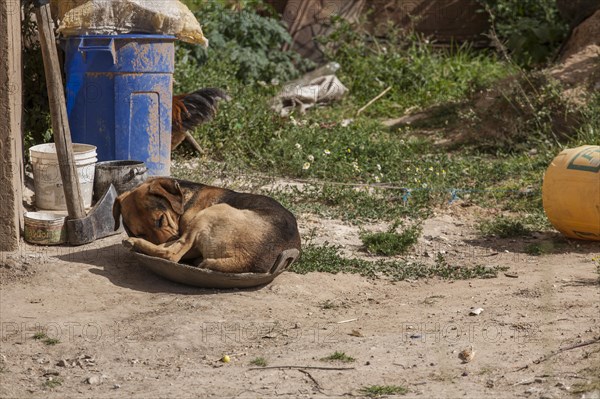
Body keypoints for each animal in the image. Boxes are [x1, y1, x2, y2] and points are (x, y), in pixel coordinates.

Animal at [111, 179, 300, 276]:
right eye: (141, 232)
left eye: (160, 220)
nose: (137, 237)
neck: (185, 201)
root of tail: (247, 259)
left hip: (212, 212)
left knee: (171, 254)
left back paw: (133, 243)